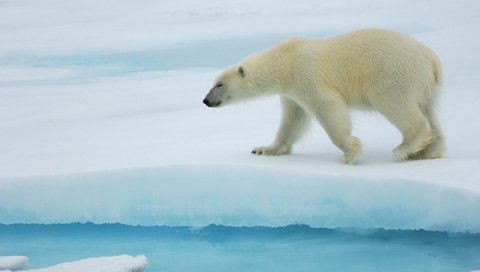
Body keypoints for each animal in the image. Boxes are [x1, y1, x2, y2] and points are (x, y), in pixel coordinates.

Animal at [202, 28, 442, 164]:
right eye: (213, 83)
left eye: (219, 84)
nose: (205, 101)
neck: (285, 60)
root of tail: (431, 59)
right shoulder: (291, 92)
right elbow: (293, 119)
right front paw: (264, 149)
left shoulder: (306, 74)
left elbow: (327, 107)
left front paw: (349, 152)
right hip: (425, 86)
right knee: (430, 112)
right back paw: (427, 151)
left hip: (393, 75)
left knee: (397, 106)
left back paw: (406, 147)